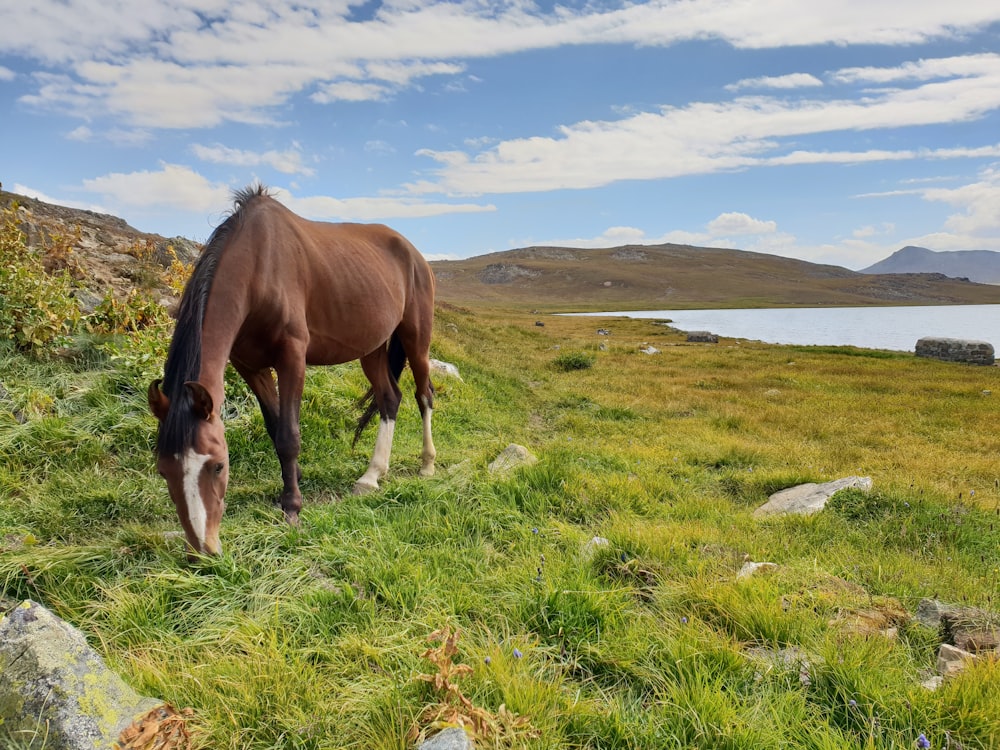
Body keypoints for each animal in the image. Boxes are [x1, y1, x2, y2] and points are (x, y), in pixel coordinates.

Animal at [146, 185, 436, 556]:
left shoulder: (292, 358)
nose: (204, 550)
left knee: (423, 395)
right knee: (389, 399)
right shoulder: (250, 367)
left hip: (416, 338)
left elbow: (289, 436)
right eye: (163, 471)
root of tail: (414, 254)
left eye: (218, 465)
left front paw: (292, 508)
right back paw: (371, 476)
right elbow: (274, 429)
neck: (259, 267)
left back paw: (427, 463)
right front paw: (289, 487)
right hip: (372, 348)